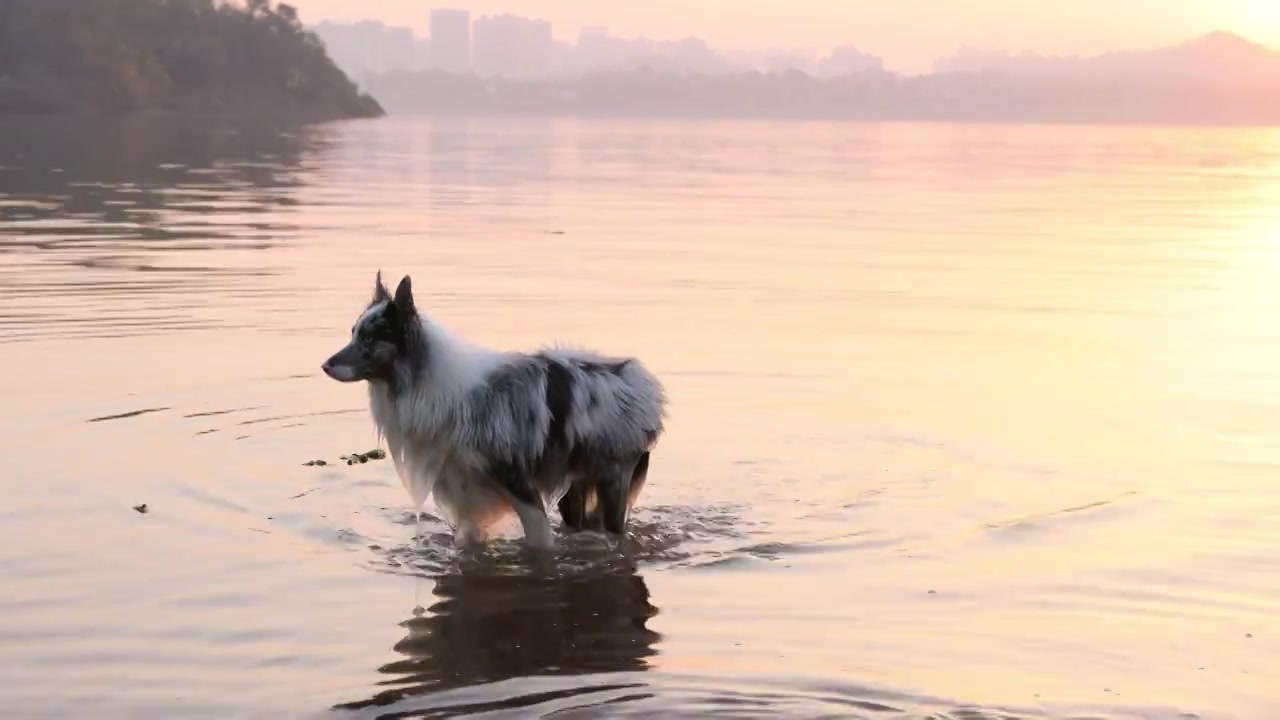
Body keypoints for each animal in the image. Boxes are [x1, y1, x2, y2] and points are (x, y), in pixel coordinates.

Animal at [322, 271, 670, 545]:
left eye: (369, 340)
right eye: (354, 334)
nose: (325, 365)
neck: (420, 379)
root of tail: (643, 380)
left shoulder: (520, 487)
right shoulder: (464, 496)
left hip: (614, 480)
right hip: (576, 488)